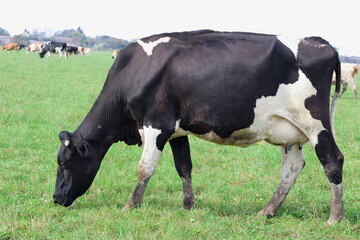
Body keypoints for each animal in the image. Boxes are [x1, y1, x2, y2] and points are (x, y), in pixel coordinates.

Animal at [52, 30, 344, 225]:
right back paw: (268, 211)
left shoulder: (157, 124)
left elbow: (144, 168)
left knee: (333, 161)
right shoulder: (176, 130)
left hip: (315, 123)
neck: (135, 71)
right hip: (290, 132)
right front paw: (188, 205)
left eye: (64, 164)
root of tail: (321, 42)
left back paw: (335, 217)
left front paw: (131, 205)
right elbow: (184, 166)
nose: (55, 198)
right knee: (292, 168)